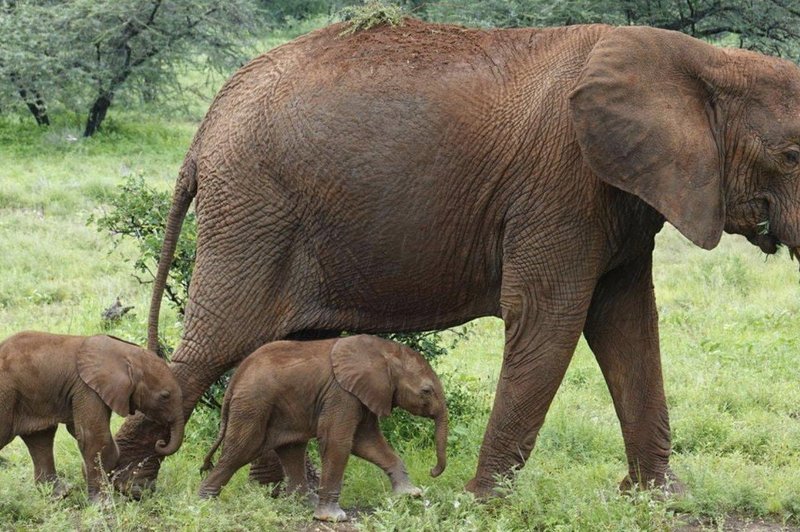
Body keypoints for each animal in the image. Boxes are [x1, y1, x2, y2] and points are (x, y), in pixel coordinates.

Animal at [0, 330, 184, 500]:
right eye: (165, 396)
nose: (160, 443)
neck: (126, 353)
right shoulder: (86, 388)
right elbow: (93, 437)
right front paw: (103, 504)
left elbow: (78, 431)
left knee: (40, 439)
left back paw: (60, 494)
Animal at [114, 17, 800, 498]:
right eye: (792, 155)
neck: (702, 60)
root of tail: (206, 128)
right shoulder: (560, 188)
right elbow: (550, 321)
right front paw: (482, 502)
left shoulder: (622, 200)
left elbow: (628, 326)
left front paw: (661, 499)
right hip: (254, 208)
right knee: (214, 345)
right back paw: (124, 497)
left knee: (283, 346)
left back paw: (283, 495)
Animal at [198, 334, 450, 520]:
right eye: (426, 391)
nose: (432, 471)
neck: (384, 350)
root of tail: (235, 378)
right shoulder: (341, 394)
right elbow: (338, 442)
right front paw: (333, 518)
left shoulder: (362, 394)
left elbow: (367, 443)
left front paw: (411, 495)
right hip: (253, 404)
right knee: (240, 451)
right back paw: (204, 505)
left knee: (291, 450)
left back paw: (305, 505)